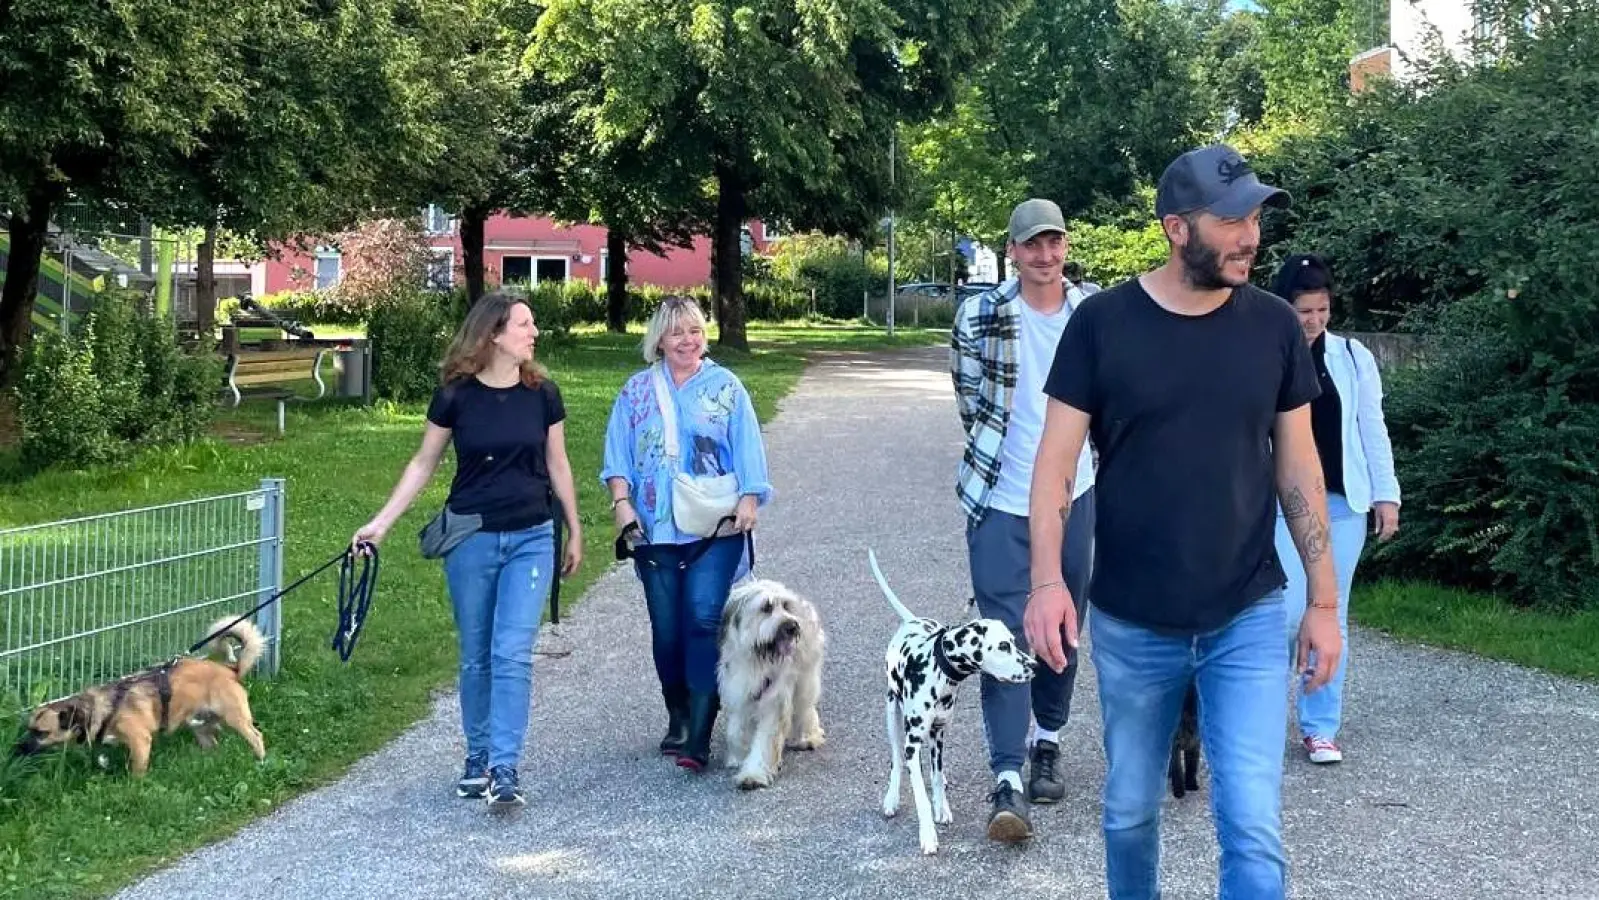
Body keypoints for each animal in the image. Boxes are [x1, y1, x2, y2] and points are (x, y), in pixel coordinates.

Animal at [16, 617, 268, 776]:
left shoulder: (140, 741)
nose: (18, 749)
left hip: (235, 718)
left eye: (41, 732)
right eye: (29, 728)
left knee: (256, 736)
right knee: (211, 744)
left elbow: (137, 771)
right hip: (200, 725)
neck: (103, 707)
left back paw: (261, 760)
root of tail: (230, 670)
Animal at [876, 546, 1036, 856]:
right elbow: (919, 793)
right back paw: (891, 797)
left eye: (1013, 641)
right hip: (892, 714)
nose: (1035, 665)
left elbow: (936, 776)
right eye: (1002, 646)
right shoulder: (912, 741)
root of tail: (911, 620)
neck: (938, 670)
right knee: (896, 760)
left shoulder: (939, 733)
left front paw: (942, 807)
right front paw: (928, 835)